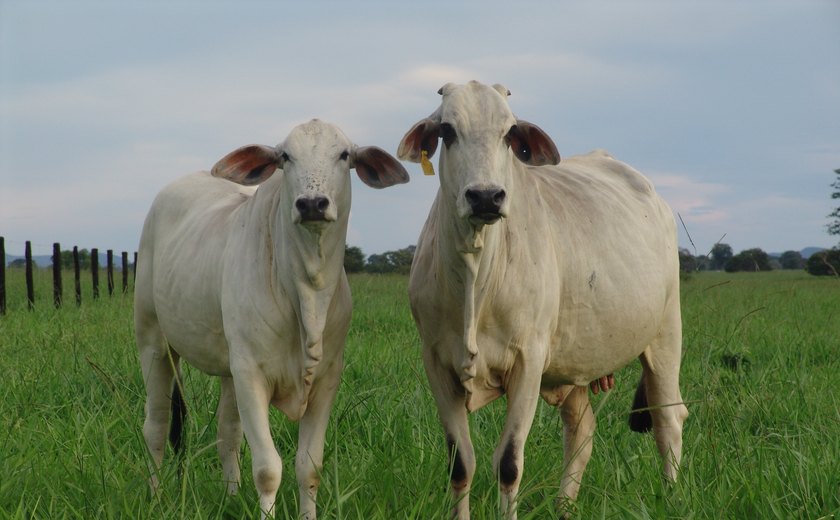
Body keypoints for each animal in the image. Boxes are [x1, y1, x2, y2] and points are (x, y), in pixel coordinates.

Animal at [135, 120, 410, 516]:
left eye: (344, 155)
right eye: (285, 156)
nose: (311, 203)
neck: (307, 292)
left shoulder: (326, 379)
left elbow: (308, 466)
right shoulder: (251, 374)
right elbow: (268, 469)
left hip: (228, 368)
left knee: (227, 433)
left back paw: (231, 497)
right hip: (154, 342)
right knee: (156, 426)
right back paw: (156, 498)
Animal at [398, 79, 688, 516]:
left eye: (508, 133)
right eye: (447, 131)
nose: (486, 197)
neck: (475, 275)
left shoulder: (528, 362)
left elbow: (509, 463)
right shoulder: (437, 362)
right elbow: (460, 463)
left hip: (665, 335)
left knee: (668, 420)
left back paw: (670, 497)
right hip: (576, 361)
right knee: (582, 431)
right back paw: (564, 507)